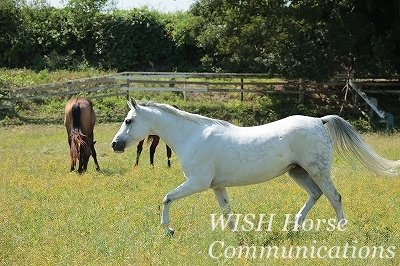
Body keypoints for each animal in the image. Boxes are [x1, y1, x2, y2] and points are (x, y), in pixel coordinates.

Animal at [110, 97, 400, 235]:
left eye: (128, 121)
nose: (114, 145)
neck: (192, 136)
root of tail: (319, 121)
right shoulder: (216, 186)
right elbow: (227, 211)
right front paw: (235, 235)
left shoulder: (197, 183)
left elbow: (167, 198)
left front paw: (168, 229)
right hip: (298, 172)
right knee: (316, 194)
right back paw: (295, 227)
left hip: (318, 170)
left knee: (334, 196)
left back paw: (340, 230)